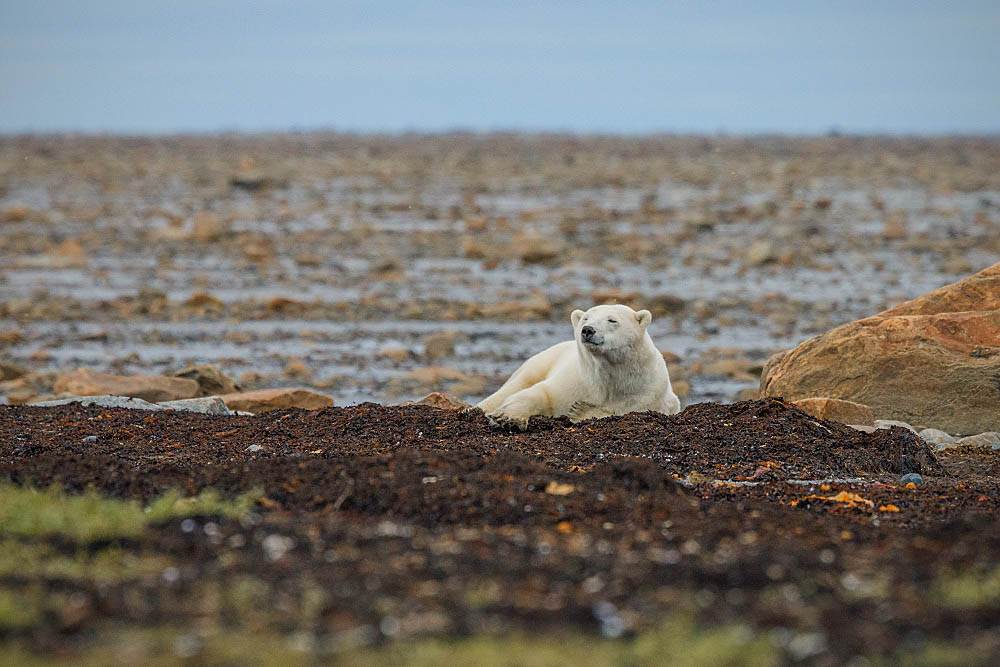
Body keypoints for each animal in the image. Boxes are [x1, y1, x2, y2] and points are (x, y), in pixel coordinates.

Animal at [476, 306, 680, 430]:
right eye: (585, 318)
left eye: (612, 320)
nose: (588, 330)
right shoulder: (575, 380)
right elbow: (542, 393)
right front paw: (507, 418)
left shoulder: (646, 393)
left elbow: (618, 411)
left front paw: (579, 410)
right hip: (542, 361)